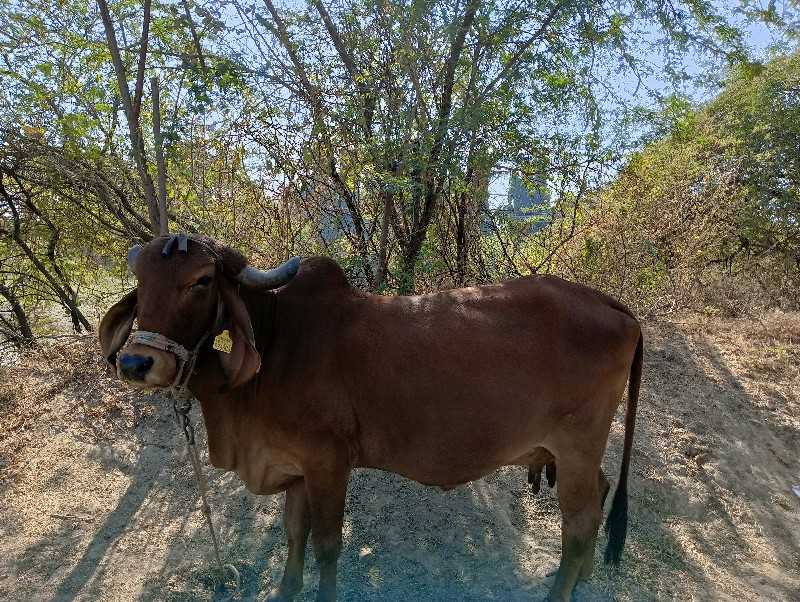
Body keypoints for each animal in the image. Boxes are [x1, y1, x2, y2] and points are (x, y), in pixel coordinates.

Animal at [100, 233, 644, 600]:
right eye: (140, 282)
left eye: (202, 280)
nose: (136, 363)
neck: (275, 346)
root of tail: (610, 304)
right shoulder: (294, 465)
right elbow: (293, 532)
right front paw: (286, 590)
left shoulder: (327, 463)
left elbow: (326, 543)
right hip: (573, 452)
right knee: (599, 494)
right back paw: (583, 578)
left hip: (576, 447)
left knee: (580, 522)